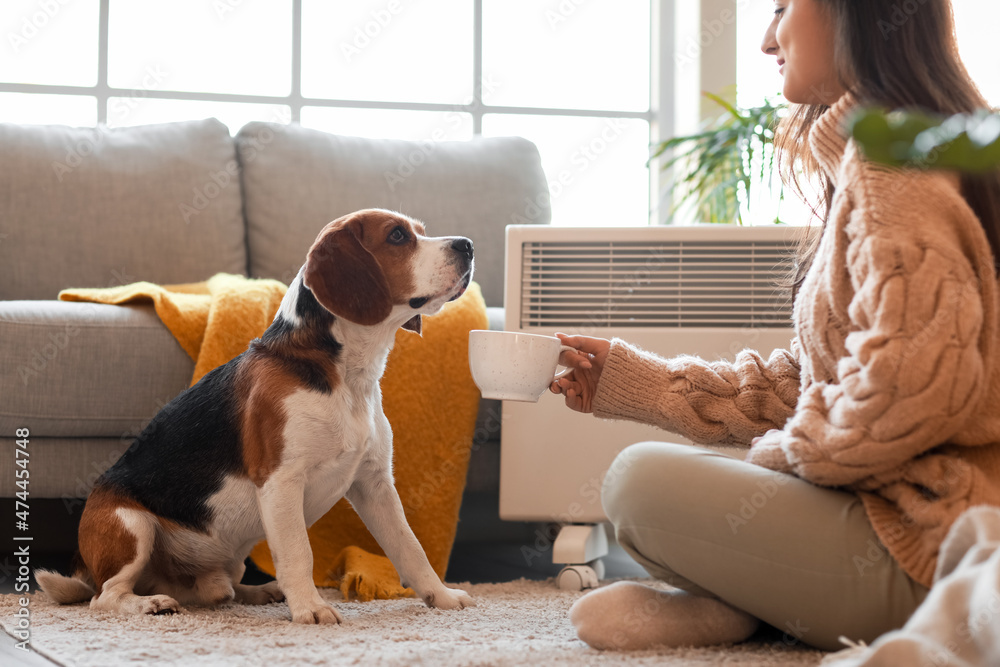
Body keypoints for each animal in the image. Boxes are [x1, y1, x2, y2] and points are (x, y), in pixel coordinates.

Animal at [37, 210, 474, 628]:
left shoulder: (375, 484)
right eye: (397, 236)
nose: (468, 245)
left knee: (218, 592)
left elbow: (411, 548)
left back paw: (257, 592)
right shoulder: (281, 480)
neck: (349, 378)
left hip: (226, 559)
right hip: (131, 526)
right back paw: (150, 603)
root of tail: (84, 566)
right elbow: (299, 553)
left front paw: (442, 597)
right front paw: (311, 609)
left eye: (420, 231)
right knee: (106, 597)